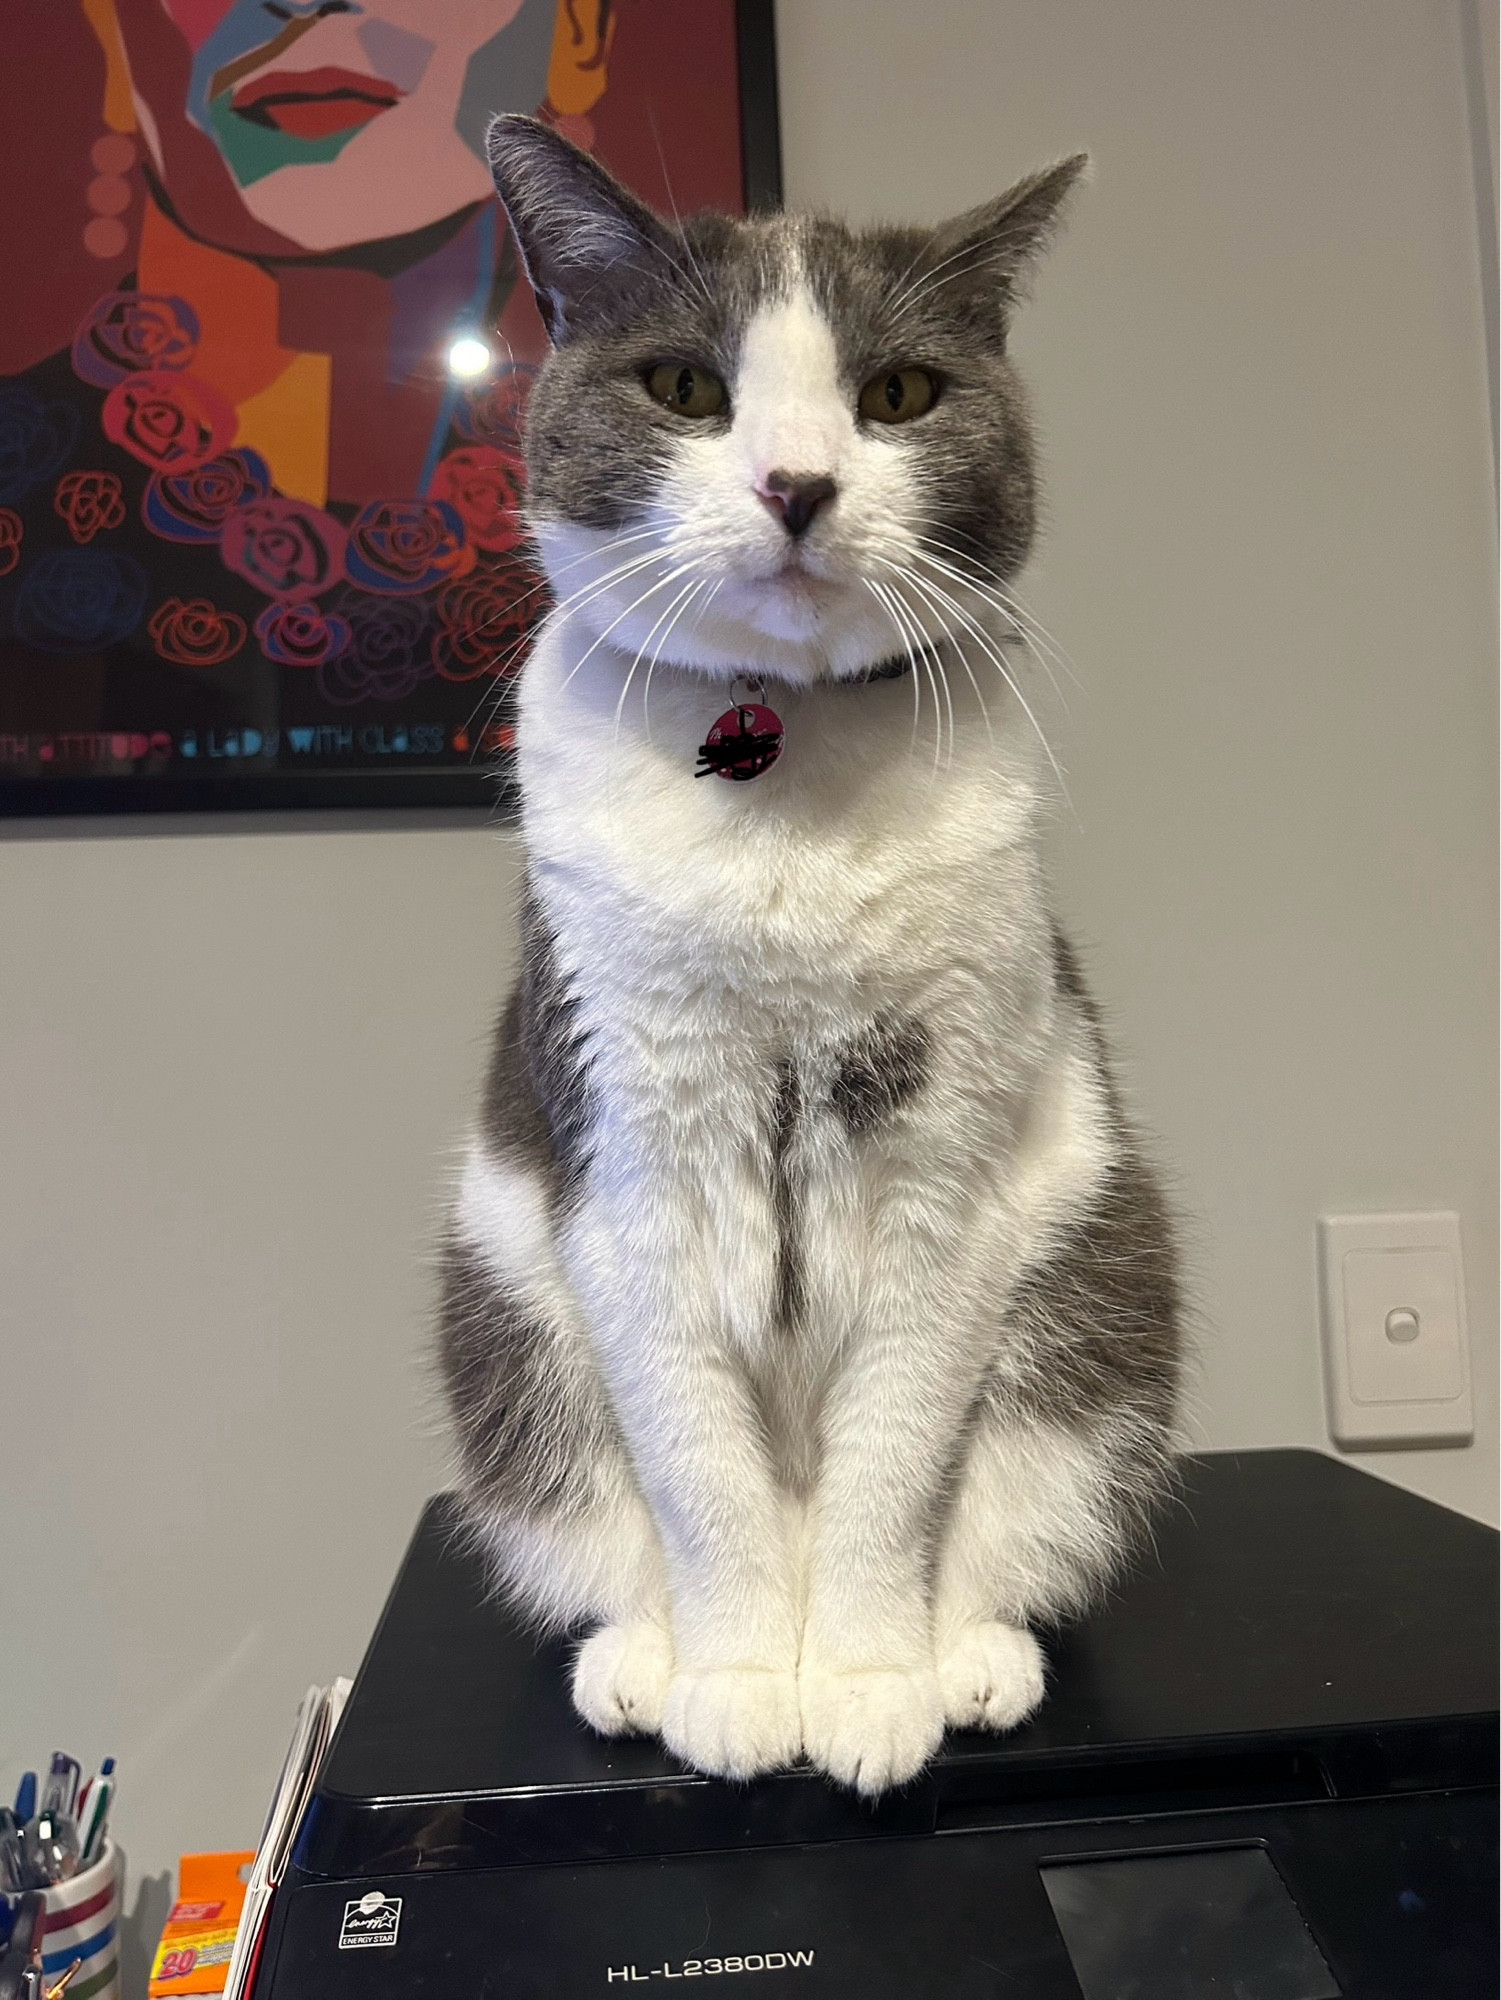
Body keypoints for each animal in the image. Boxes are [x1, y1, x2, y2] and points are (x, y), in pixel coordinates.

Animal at [440, 113, 1184, 1800]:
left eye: (896, 394)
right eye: (684, 387)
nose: (796, 483)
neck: (776, 769)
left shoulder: (943, 1162)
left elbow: (893, 1457)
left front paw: (858, 1683)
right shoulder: (628, 1151)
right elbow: (695, 1469)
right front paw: (735, 1685)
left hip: (1095, 1288)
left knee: (1015, 1503)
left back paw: (968, 1658)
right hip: (506, 1314)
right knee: (596, 1511)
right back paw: (642, 1663)